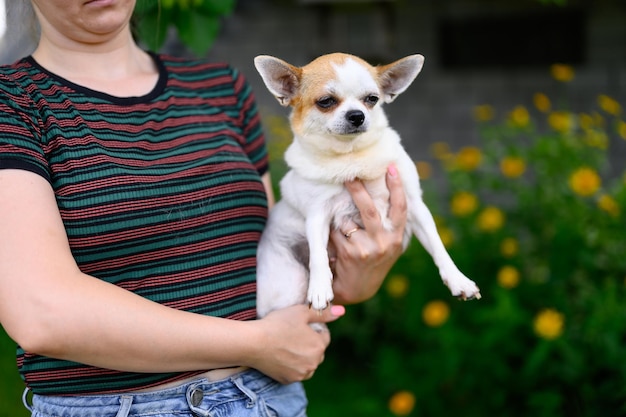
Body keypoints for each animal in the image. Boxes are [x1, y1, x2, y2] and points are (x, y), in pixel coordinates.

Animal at [252, 52, 478, 318]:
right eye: (326, 102)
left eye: (372, 99)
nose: (357, 115)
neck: (352, 157)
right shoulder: (317, 215)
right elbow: (318, 253)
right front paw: (319, 288)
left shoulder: (414, 205)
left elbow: (437, 244)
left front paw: (458, 279)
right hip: (289, 281)